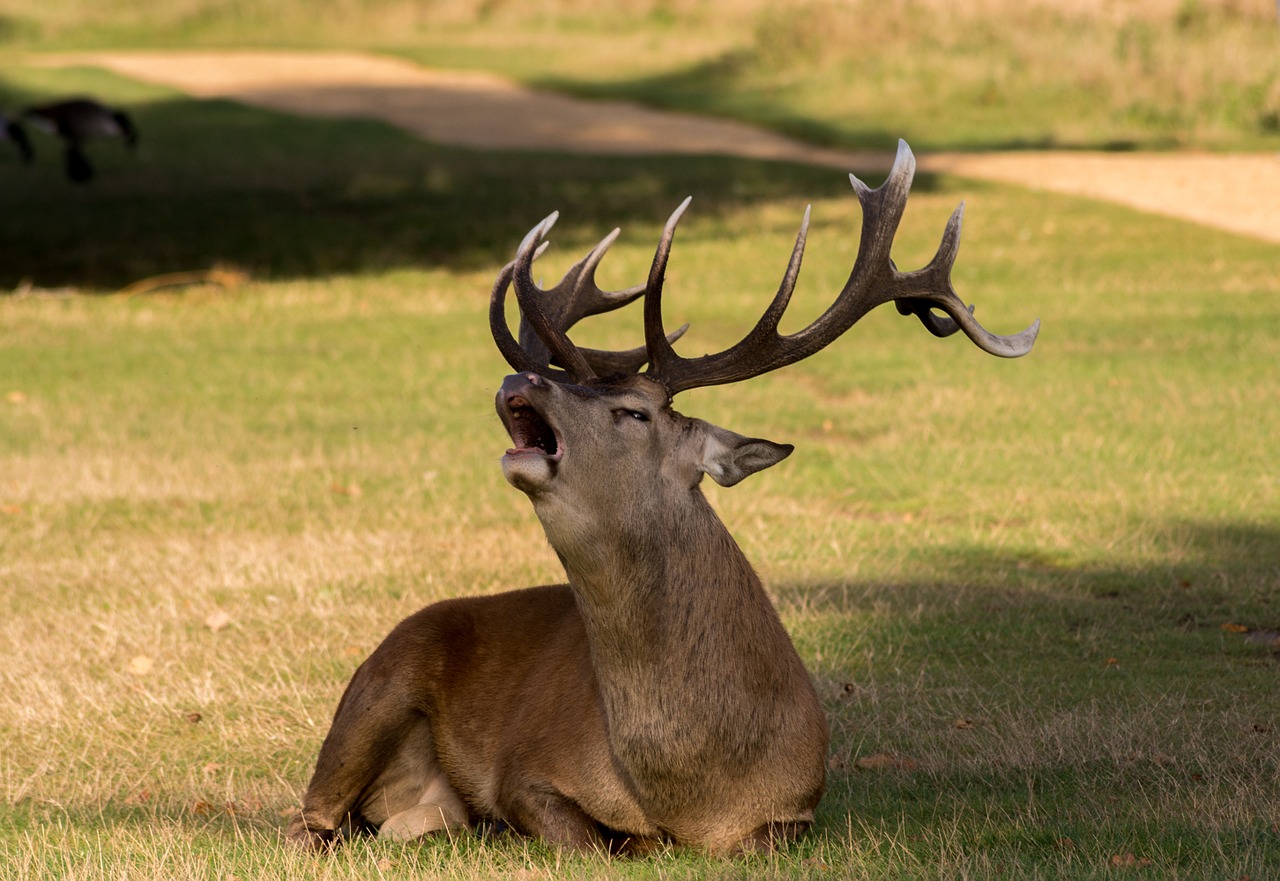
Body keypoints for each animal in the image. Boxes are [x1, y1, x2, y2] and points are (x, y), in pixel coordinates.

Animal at [285, 142, 1034, 855]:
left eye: (632, 411)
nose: (520, 377)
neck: (689, 786)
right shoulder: (524, 771)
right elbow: (587, 839)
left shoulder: (797, 806)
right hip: (375, 690)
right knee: (310, 819)